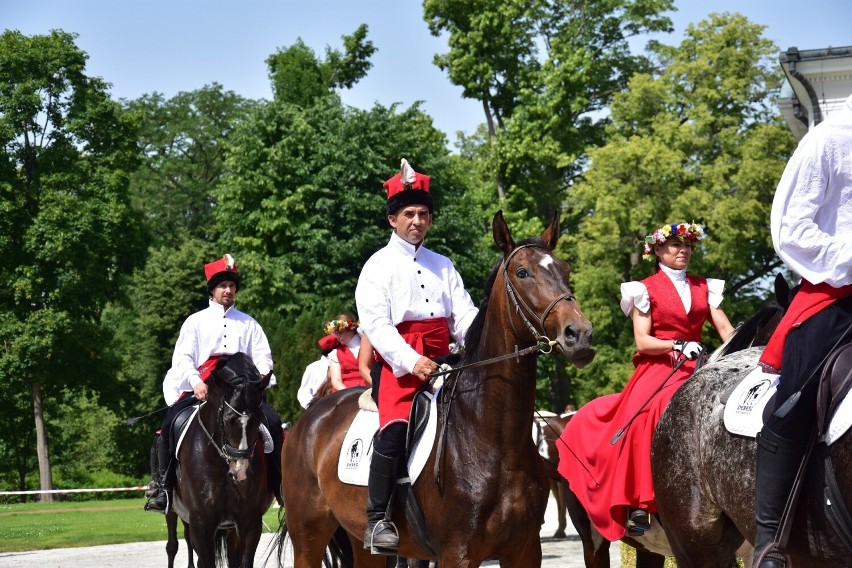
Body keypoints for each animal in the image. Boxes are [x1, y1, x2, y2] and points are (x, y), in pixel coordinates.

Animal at [165, 352, 274, 564]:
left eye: (258, 419)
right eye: (228, 419)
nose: (240, 472)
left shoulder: (250, 522)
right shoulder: (201, 522)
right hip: (173, 511)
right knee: (173, 545)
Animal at [278, 211, 592, 564]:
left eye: (565, 269)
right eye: (522, 273)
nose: (579, 334)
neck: (493, 439)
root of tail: (308, 419)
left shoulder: (525, 550)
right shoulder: (457, 553)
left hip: (361, 542)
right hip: (309, 534)